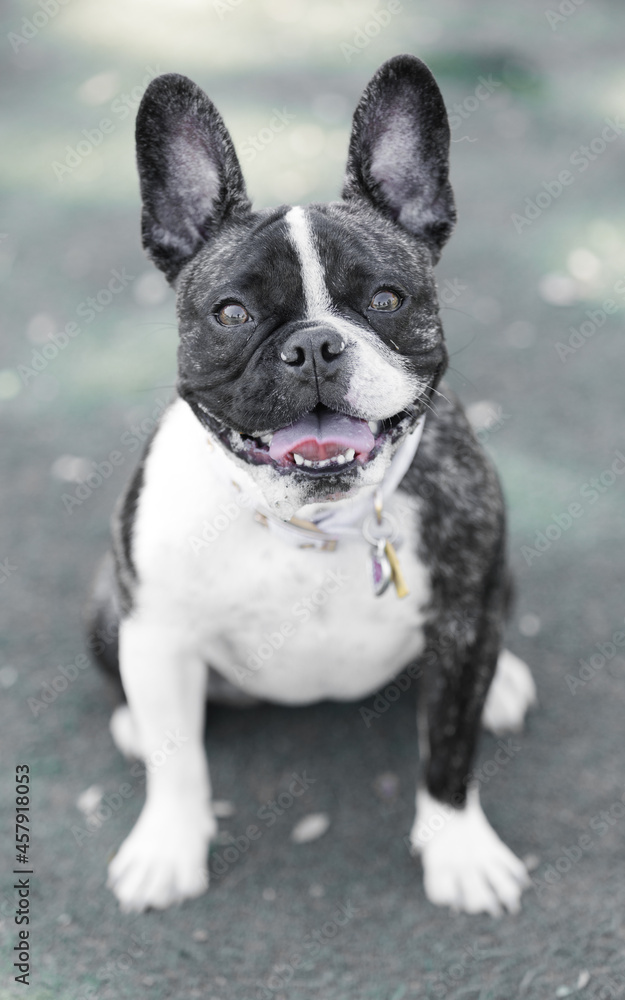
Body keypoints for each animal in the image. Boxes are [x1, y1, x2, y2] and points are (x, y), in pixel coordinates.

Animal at [88, 52, 536, 916]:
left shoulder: (461, 619)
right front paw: (167, 848)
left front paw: (460, 851)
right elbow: (178, 762)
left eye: (387, 300)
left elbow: (449, 755)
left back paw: (501, 685)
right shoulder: (158, 631)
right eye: (231, 313)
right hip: (109, 611)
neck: (315, 524)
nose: (315, 346)